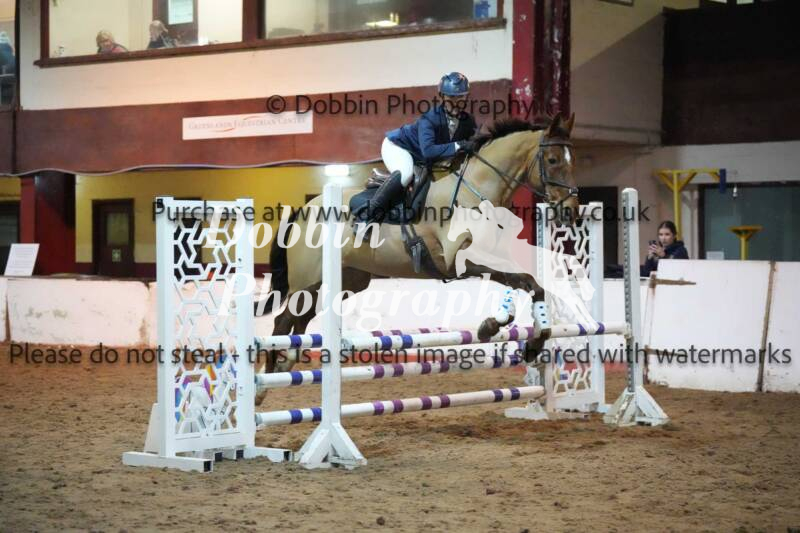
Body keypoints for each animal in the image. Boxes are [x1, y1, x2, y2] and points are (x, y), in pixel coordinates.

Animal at [254, 114, 579, 405]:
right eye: (552, 160)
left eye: (571, 159)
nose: (571, 211)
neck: (479, 190)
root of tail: (305, 208)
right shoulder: (459, 262)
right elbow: (520, 281)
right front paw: (493, 327)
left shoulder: (494, 259)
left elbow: (531, 284)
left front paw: (532, 343)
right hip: (307, 281)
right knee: (283, 322)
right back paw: (263, 386)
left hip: (346, 281)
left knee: (302, 318)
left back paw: (285, 364)